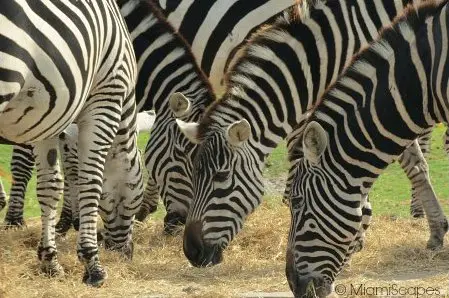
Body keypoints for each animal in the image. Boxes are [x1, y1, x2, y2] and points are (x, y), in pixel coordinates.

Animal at [0, 0, 142, 286]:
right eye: (140, 194)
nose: (126, 255)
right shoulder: (105, 99)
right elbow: (91, 181)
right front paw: (93, 265)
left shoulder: (47, 114)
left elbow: (50, 186)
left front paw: (49, 262)